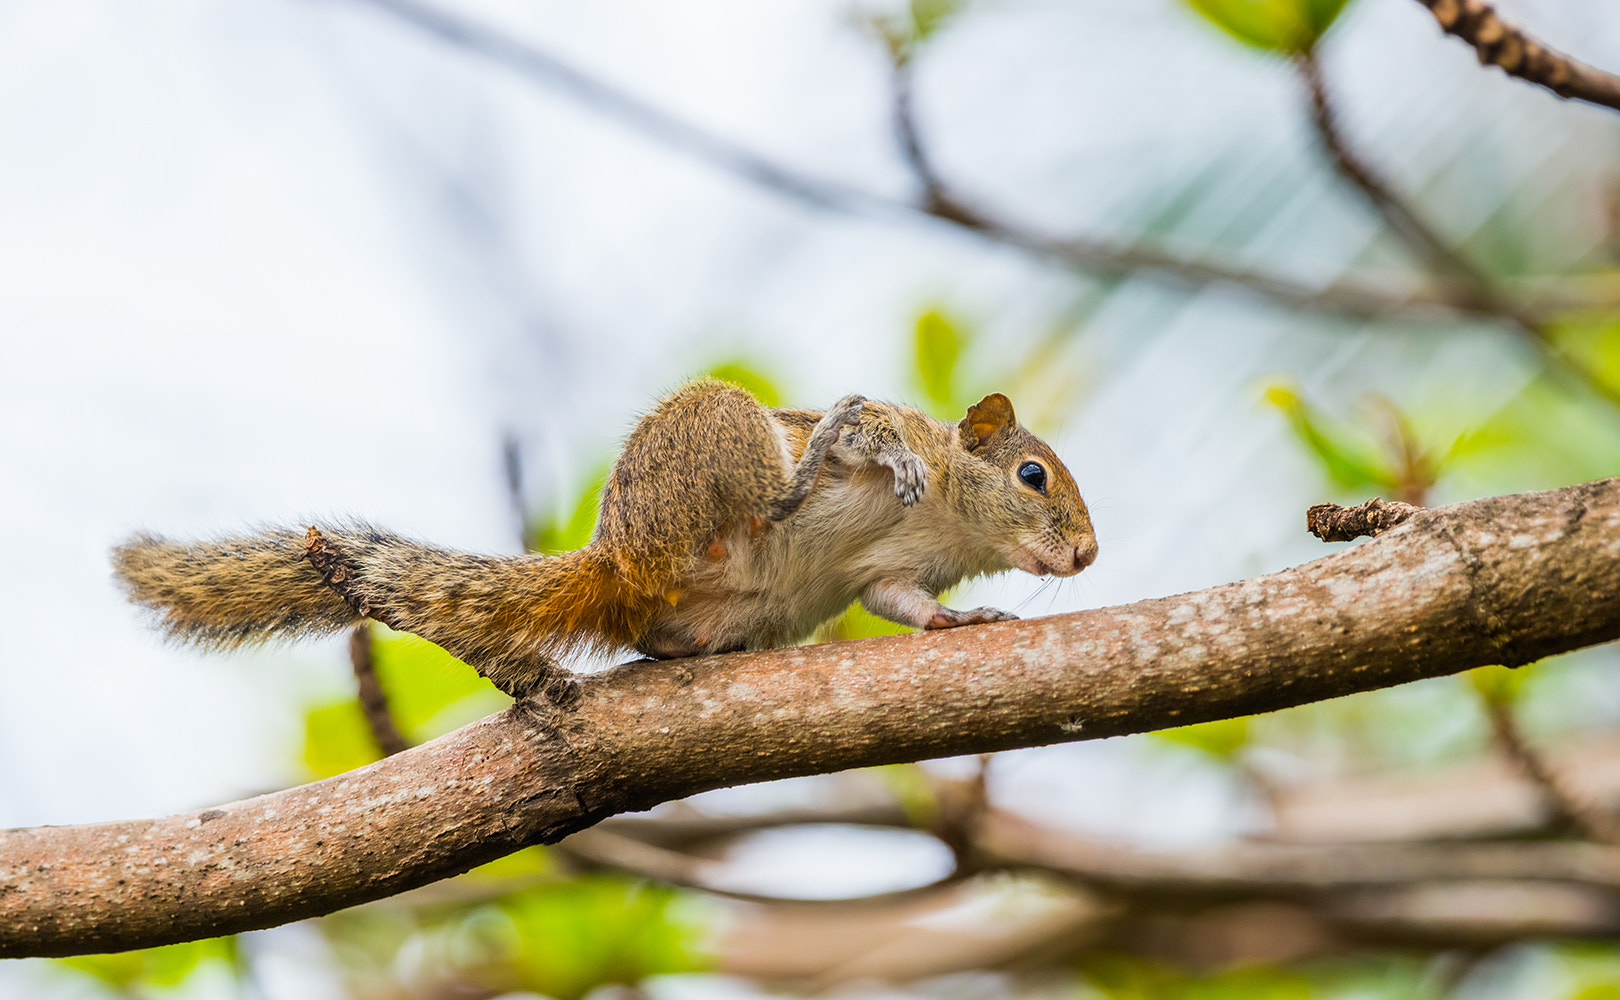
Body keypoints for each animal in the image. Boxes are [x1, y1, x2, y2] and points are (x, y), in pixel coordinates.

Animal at [114, 376, 1095, 703]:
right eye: (1033, 476)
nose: (1086, 555)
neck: (946, 518)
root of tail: (613, 556)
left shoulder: (891, 574)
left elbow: (902, 605)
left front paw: (961, 623)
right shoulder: (892, 447)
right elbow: (873, 435)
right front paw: (868, 442)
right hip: (715, 440)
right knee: (772, 496)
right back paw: (800, 462)